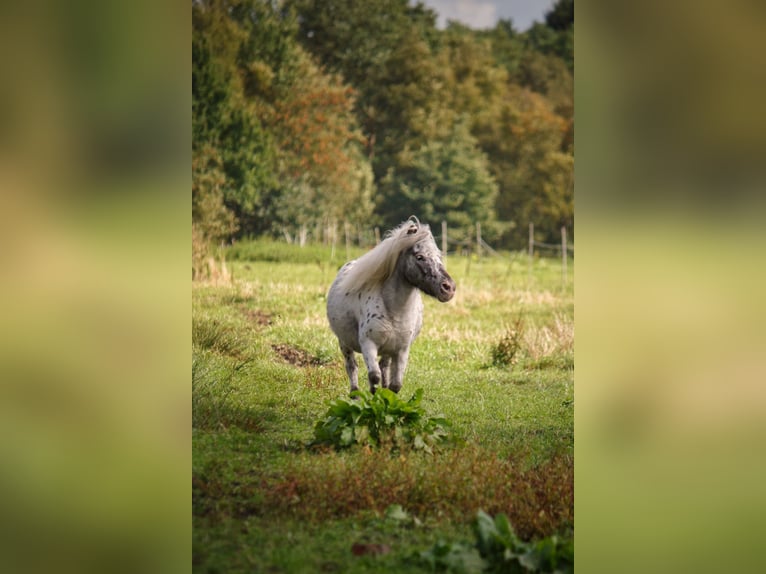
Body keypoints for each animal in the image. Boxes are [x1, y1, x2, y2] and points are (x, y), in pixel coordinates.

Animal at [326, 217, 456, 395]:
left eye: (439, 256)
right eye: (420, 257)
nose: (449, 288)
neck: (394, 310)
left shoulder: (401, 350)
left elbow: (395, 385)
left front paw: (386, 397)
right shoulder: (368, 344)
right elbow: (374, 376)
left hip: (388, 349)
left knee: (384, 366)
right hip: (344, 343)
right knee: (352, 367)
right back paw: (355, 395)